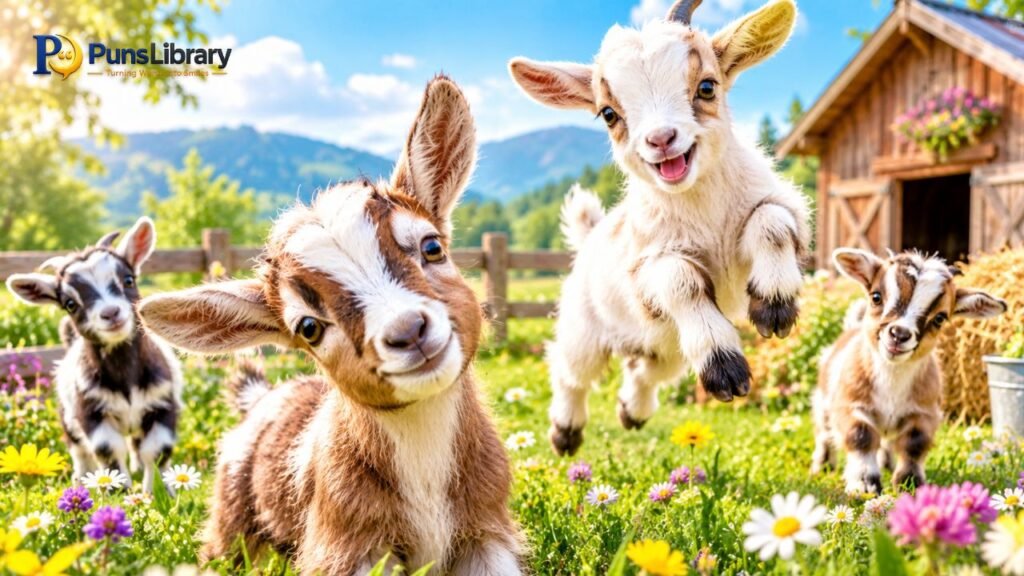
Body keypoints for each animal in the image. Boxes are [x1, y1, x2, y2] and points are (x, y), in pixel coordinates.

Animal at [6, 218, 182, 493]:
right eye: (70, 303)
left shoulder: (162, 402)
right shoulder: (91, 410)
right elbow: (107, 449)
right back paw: (81, 480)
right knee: (79, 450)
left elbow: (156, 450)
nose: (110, 313)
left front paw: (160, 491)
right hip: (67, 416)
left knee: (137, 445)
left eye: (128, 280)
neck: (125, 375)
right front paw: (117, 490)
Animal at [136, 77, 522, 575]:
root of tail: (263, 397)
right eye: (308, 327)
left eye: (432, 246)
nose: (408, 332)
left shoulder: (487, 530)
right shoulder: (344, 542)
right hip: (230, 520)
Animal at [508, 0, 811, 454]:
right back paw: (565, 432)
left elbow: (771, 221)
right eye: (608, 113)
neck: (702, 211)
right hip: (585, 329)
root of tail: (590, 238)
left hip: (665, 346)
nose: (662, 139)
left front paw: (774, 305)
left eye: (707, 87)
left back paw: (631, 412)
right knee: (569, 371)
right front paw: (726, 368)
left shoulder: (772, 217)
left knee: (643, 370)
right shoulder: (645, 271)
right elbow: (681, 280)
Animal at [813, 248, 1007, 494]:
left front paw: (910, 484)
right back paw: (823, 465)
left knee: (886, 443)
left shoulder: (924, 413)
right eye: (876, 297)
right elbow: (861, 436)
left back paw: (886, 464)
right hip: (822, 402)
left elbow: (915, 444)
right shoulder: (850, 405)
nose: (899, 334)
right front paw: (864, 485)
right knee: (825, 433)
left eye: (940, 317)